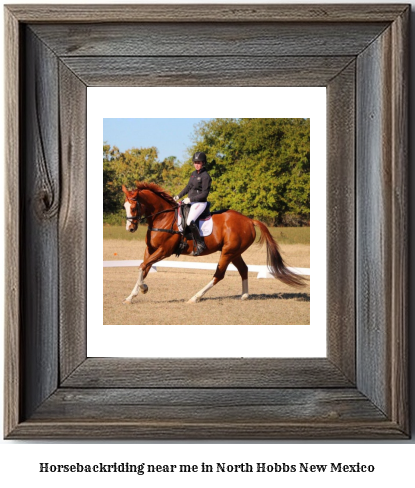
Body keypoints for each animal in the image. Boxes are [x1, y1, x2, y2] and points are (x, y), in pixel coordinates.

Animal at [120, 183, 306, 304]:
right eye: (124, 206)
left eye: (134, 207)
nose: (130, 228)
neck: (163, 217)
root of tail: (248, 220)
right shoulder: (150, 250)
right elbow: (144, 267)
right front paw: (131, 296)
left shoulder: (164, 250)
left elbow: (143, 266)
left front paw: (143, 288)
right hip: (234, 253)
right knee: (243, 269)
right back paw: (244, 296)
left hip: (227, 253)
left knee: (219, 275)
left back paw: (195, 297)